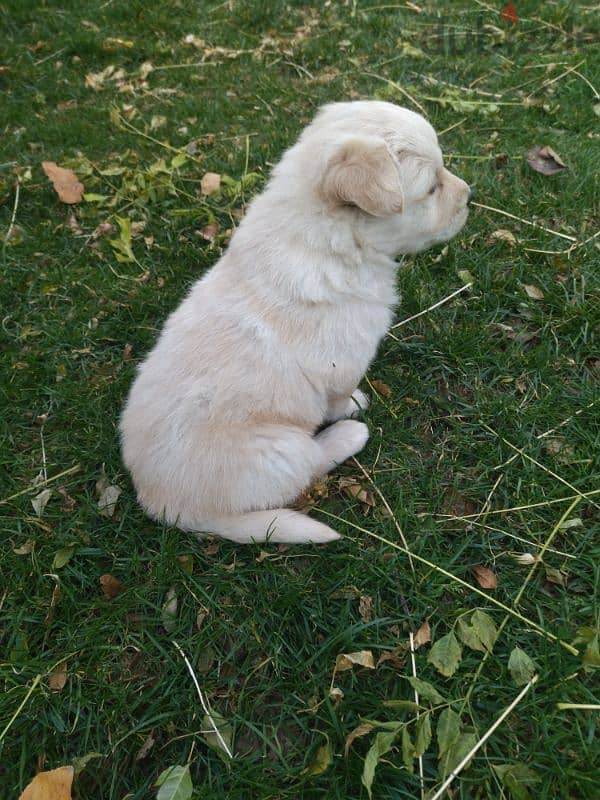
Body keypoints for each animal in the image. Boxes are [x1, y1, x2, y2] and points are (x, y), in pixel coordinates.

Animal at [119, 100, 472, 544]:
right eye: (431, 188)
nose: (470, 196)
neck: (334, 241)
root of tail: (161, 504)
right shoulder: (344, 359)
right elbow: (341, 394)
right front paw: (354, 405)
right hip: (280, 448)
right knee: (310, 463)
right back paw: (347, 435)